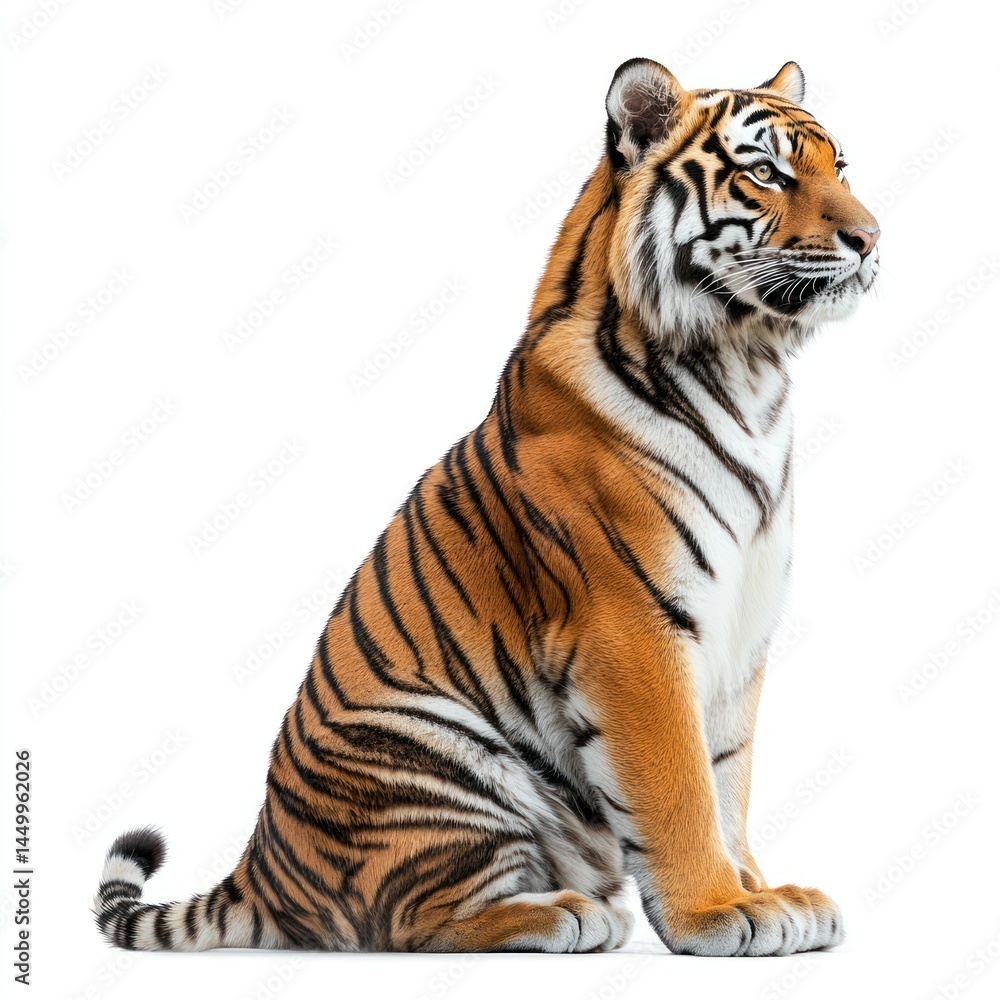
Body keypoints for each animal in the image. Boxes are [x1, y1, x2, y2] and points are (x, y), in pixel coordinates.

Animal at [94, 56, 879, 956]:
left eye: (840, 167)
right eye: (766, 174)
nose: (872, 238)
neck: (750, 371)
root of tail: (260, 867)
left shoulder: (740, 634)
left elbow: (729, 777)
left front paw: (765, 892)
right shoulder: (635, 627)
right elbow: (681, 786)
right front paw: (718, 912)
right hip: (432, 755)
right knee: (405, 922)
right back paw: (566, 914)